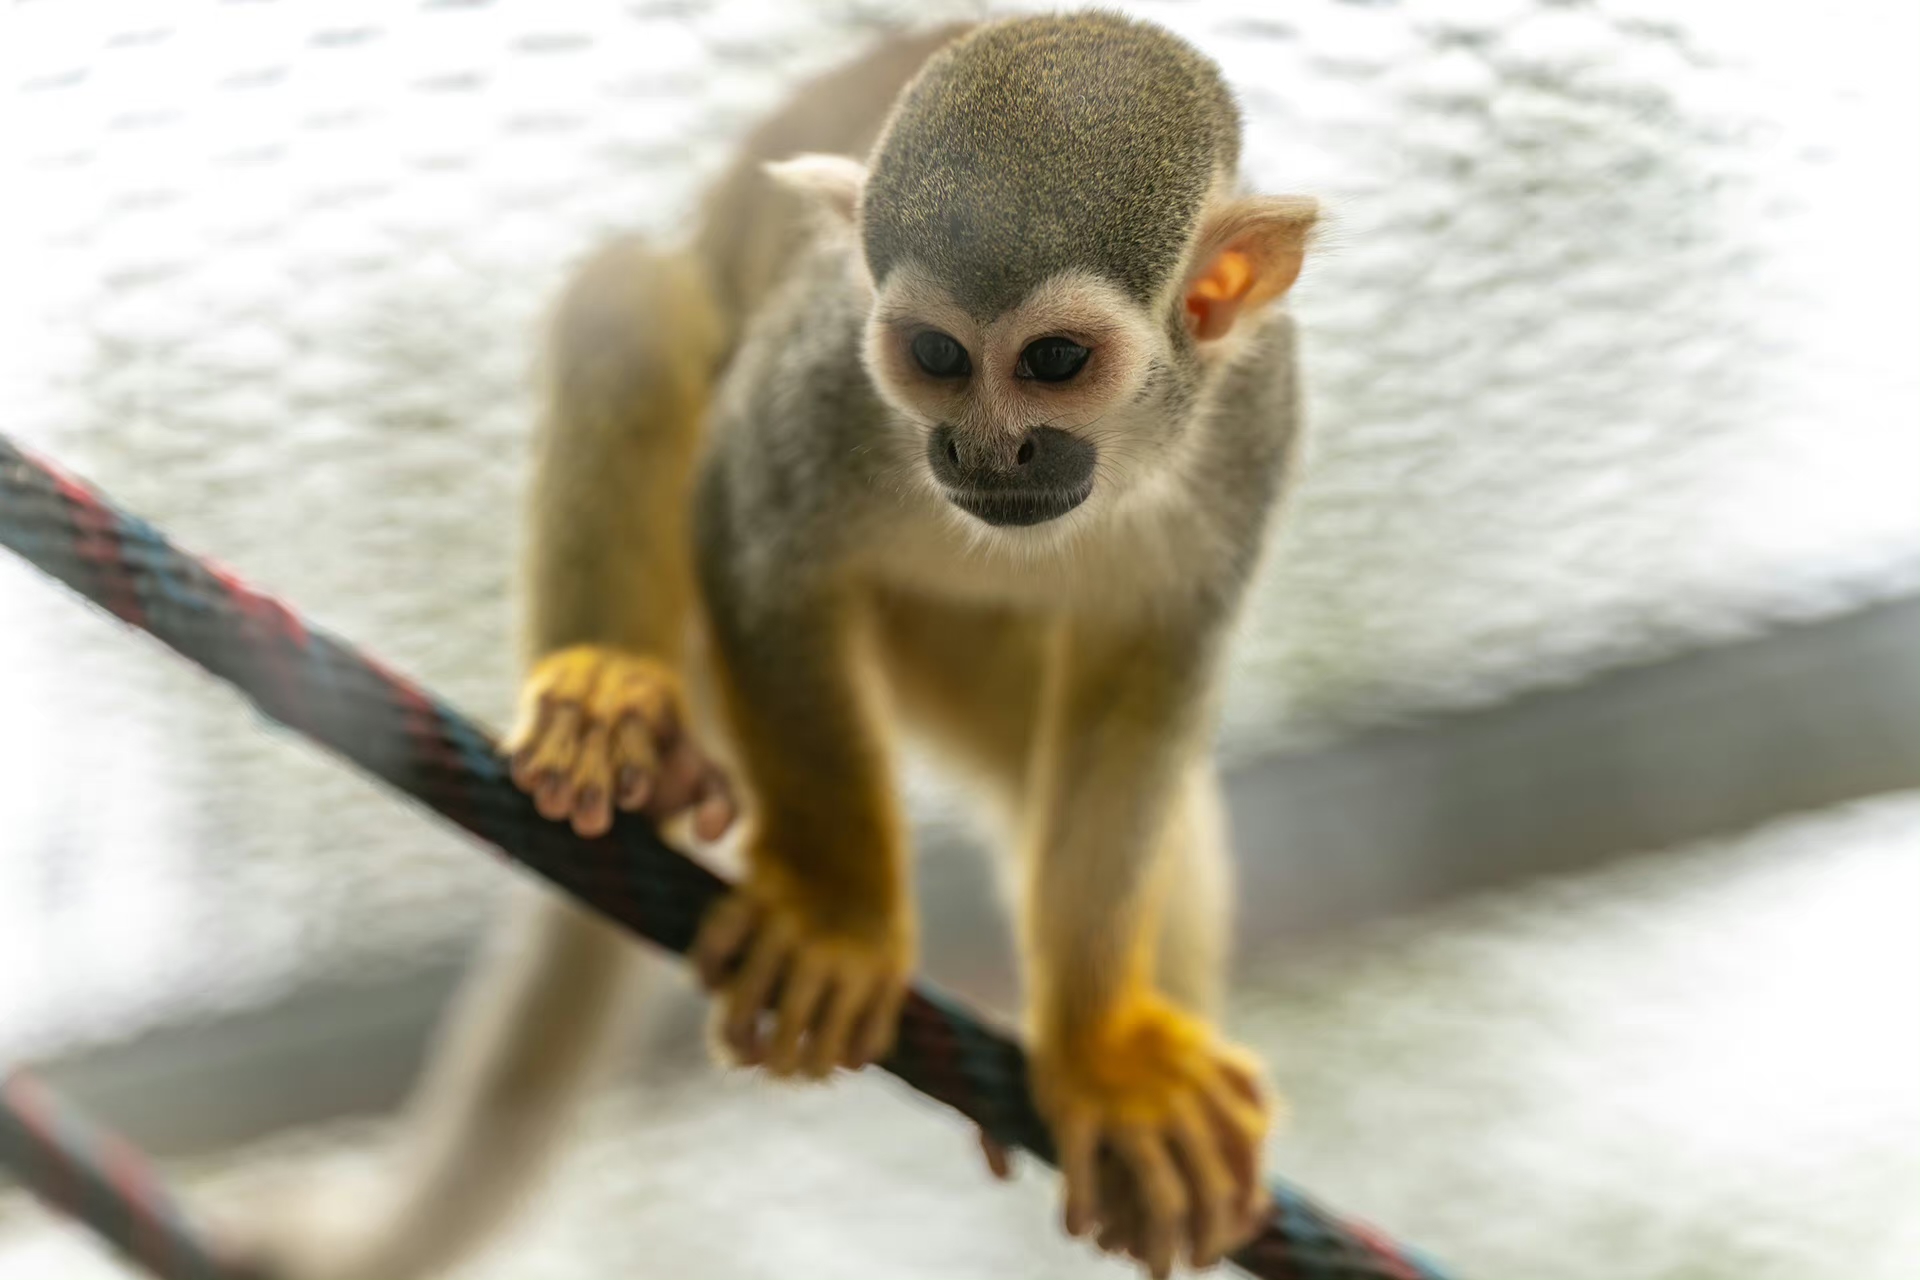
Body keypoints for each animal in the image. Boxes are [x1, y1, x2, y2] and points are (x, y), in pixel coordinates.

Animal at [224, 12, 1305, 1280]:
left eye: (1052, 363)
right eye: (937, 355)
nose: (983, 454)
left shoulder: (1254, 430)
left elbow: (1144, 699)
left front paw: (1105, 1060)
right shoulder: (830, 368)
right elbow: (752, 522)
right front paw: (835, 921)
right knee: (628, 301)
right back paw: (615, 707)